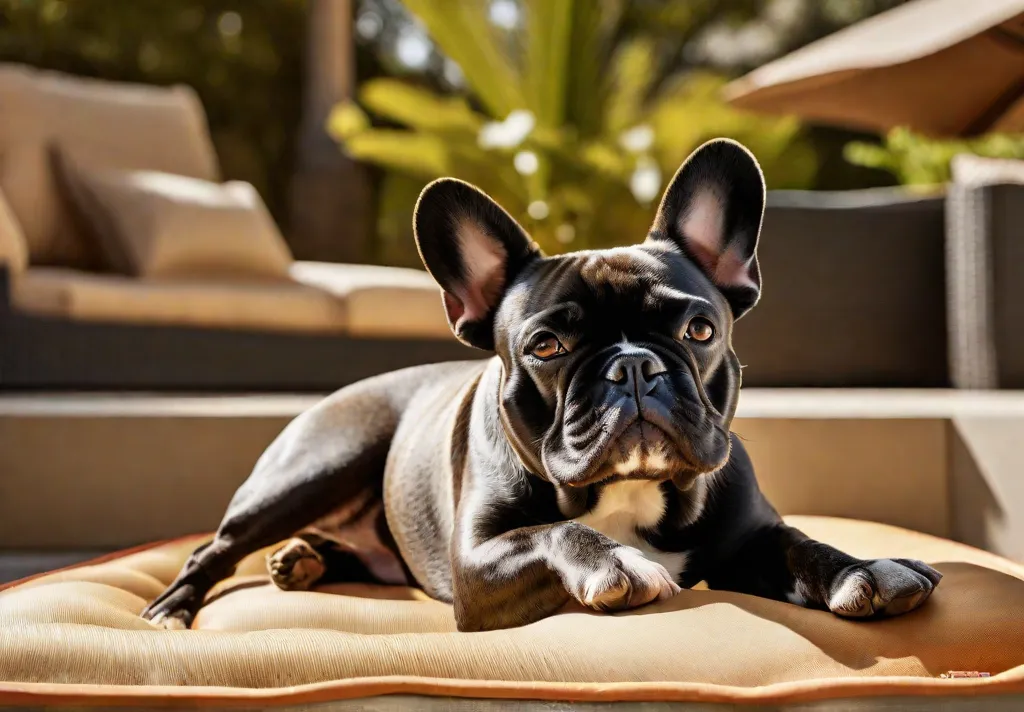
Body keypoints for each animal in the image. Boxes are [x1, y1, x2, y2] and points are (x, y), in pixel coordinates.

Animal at [146, 142, 942, 631]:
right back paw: (172, 610)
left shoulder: (753, 538)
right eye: (546, 347)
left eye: (698, 330)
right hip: (314, 466)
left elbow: (805, 544)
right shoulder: (478, 562)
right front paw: (614, 560)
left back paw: (305, 560)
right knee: (211, 550)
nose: (633, 365)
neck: (627, 493)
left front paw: (866, 568)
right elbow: (553, 531)